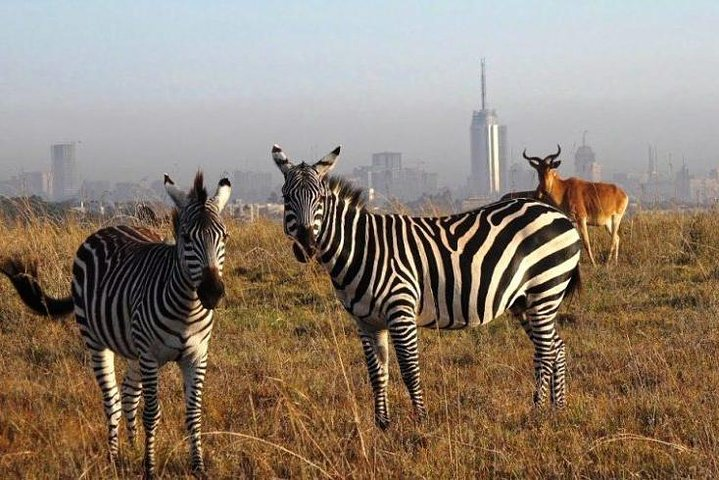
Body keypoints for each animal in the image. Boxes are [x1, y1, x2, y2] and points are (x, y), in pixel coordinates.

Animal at [0, 172, 231, 478]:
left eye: (224, 236)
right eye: (186, 238)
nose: (212, 292)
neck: (187, 308)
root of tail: (111, 226)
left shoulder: (196, 355)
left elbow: (193, 413)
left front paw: (198, 468)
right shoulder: (150, 355)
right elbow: (152, 413)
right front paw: (149, 468)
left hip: (134, 349)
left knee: (130, 393)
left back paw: (132, 448)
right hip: (97, 342)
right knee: (113, 401)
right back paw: (114, 457)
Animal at [272, 144, 582, 429]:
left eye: (321, 199)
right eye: (286, 198)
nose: (306, 246)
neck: (362, 248)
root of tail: (556, 213)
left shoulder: (400, 310)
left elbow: (409, 370)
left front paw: (421, 421)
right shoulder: (366, 322)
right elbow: (377, 373)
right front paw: (382, 425)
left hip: (545, 289)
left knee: (545, 351)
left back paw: (537, 411)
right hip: (524, 301)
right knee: (556, 346)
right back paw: (558, 410)